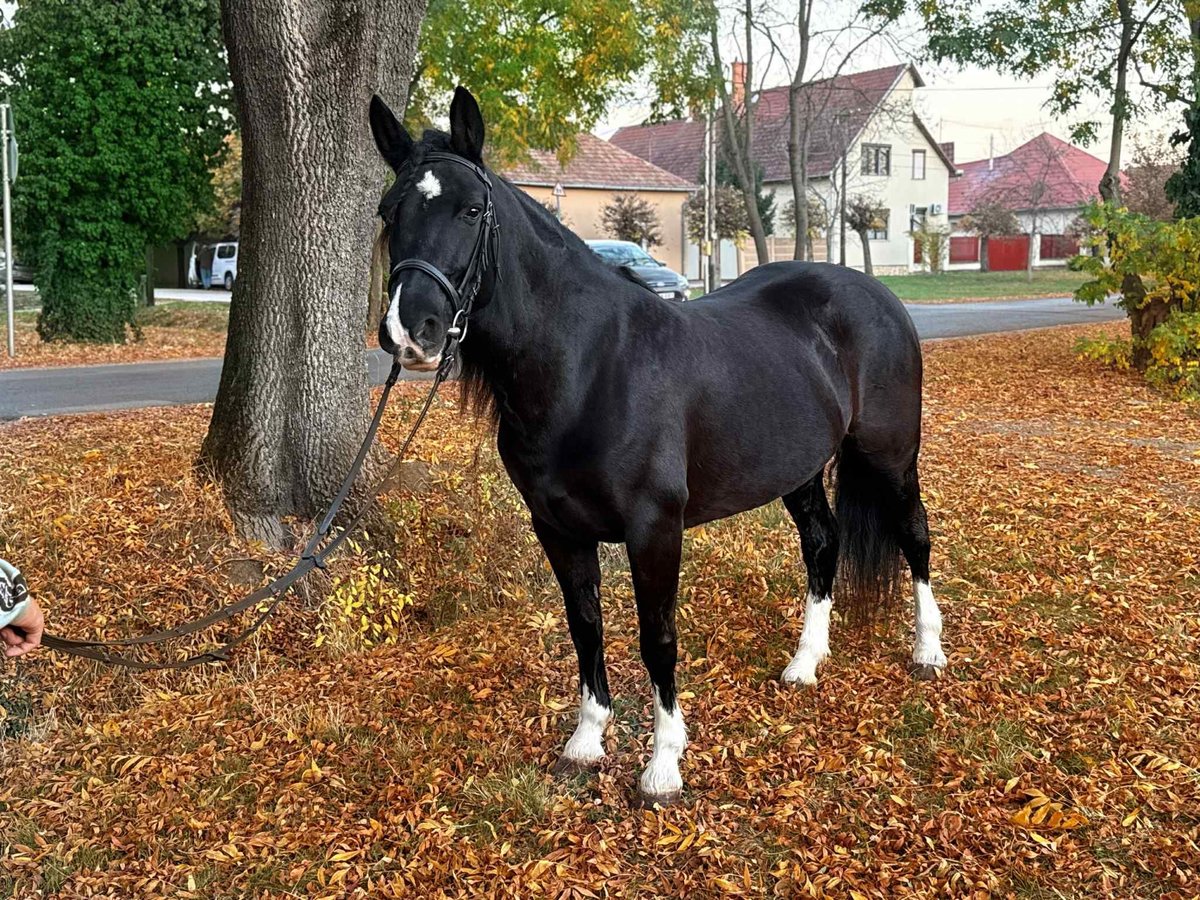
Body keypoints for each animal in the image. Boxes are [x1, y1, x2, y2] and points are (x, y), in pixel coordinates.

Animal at [368, 87, 947, 806]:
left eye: (471, 209)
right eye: (390, 212)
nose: (408, 331)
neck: (590, 365)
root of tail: (876, 295)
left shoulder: (655, 528)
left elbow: (657, 638)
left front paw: (663, 764)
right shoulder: (557, 528)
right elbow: (585, 627)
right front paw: (586, 741)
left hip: (891, 456)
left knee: (914, 534)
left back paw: (927, 652)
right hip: (800, 471)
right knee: (822, 543)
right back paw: (805, 664)